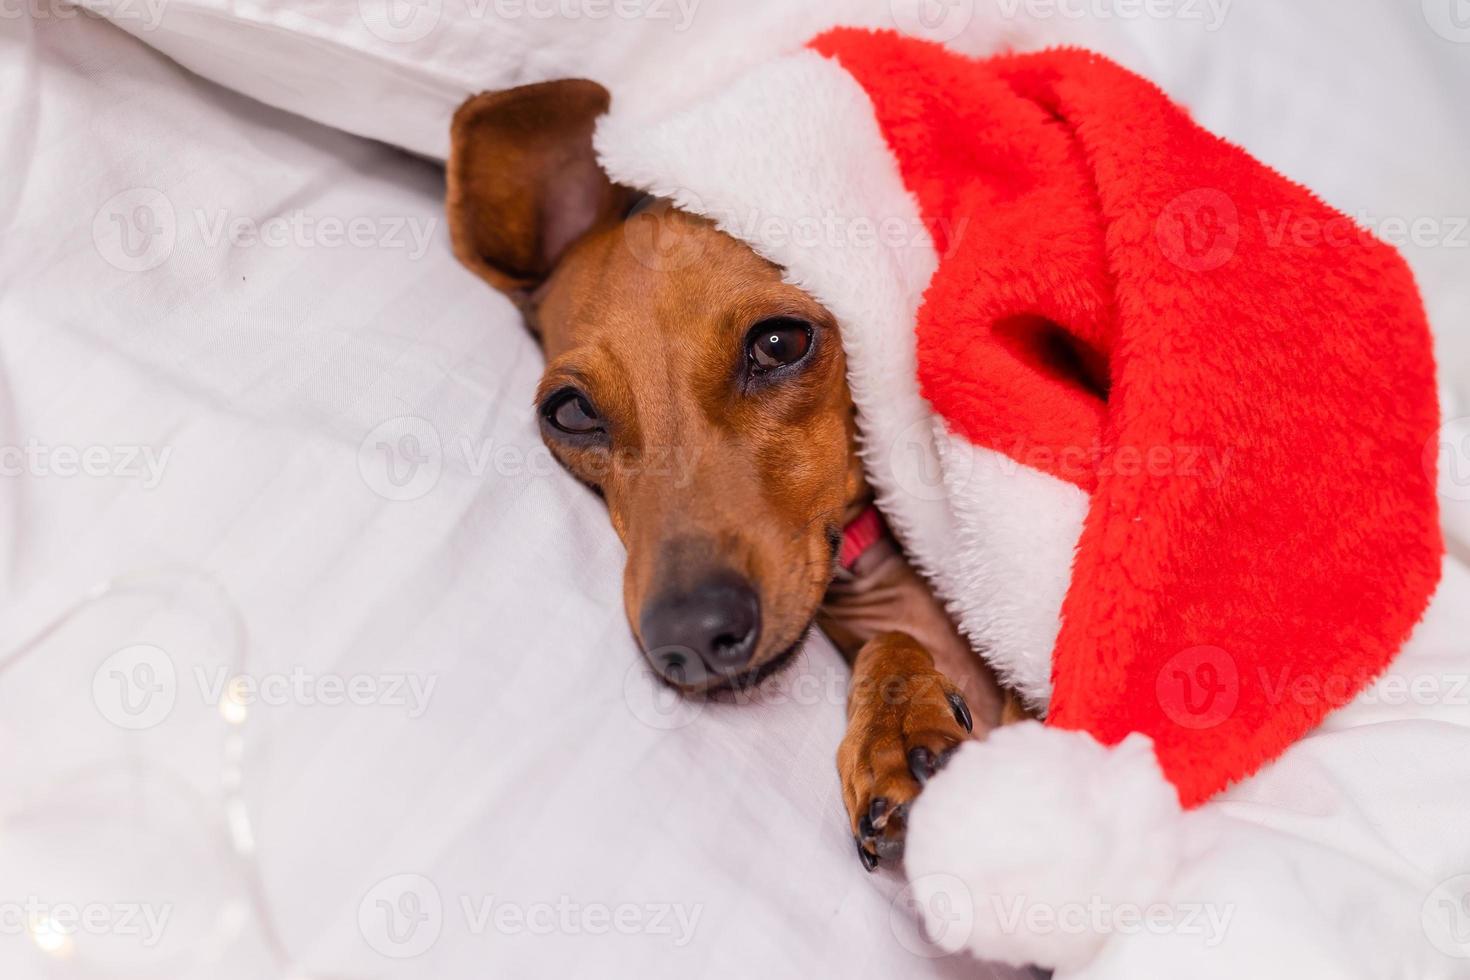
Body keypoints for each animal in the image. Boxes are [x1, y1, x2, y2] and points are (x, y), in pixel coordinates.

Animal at [441, 78, 1029, 875]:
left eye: (780, 342)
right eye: (569, 412)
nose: (691, 635)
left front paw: (905, 722)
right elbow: (890, 647)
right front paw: (897, 726)